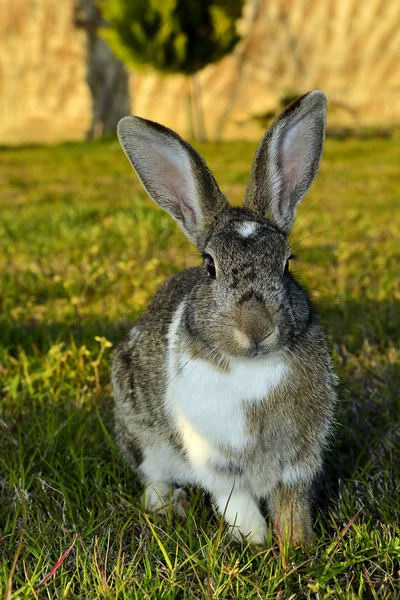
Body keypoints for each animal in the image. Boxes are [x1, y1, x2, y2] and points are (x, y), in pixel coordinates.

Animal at [110, 91, 338, 548]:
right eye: (210, 266)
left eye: (287, 263)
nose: (256, 329)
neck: (252, 368)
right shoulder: (216, 461)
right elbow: (238, 503)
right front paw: (255, 542)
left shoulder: (297, 462)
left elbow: (291, 505)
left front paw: (297, 546)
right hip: (141, 433)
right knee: (153, 478)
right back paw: (171, 506)